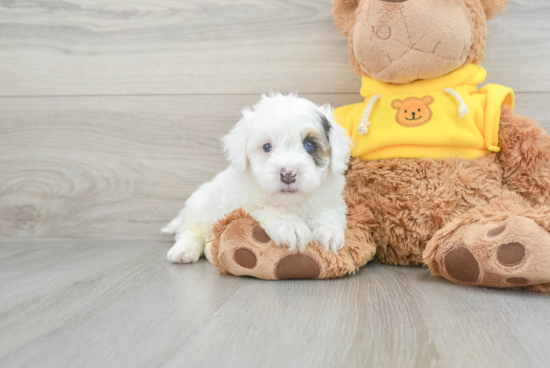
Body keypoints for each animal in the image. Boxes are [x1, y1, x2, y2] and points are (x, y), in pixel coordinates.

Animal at [163, 93, 354, 264]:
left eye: (309, 145)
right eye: (267, 147)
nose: (288, 174)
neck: (291, 202)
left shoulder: (331, 199)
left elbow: (328, 212)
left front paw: (329, 232)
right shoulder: (242, 204)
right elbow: (268, 208)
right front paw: (291, 227)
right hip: (200, 206)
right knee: (190, 232)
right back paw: (184, 250)